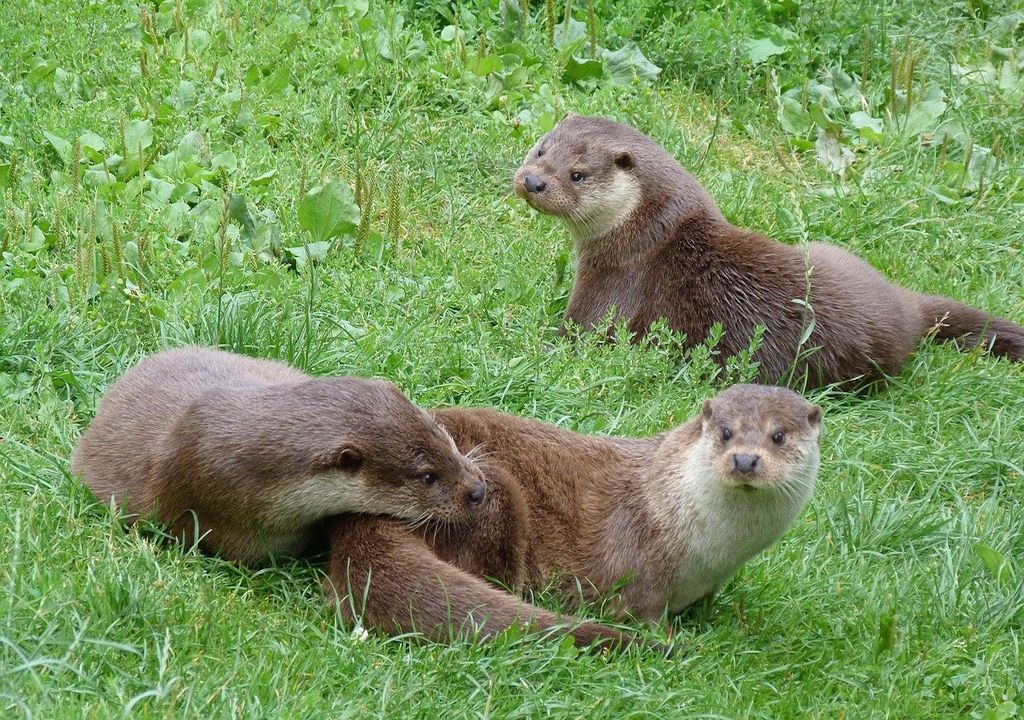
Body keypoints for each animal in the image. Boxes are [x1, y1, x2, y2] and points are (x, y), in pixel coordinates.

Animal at [323, 389, 819, 647]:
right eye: (725, 432)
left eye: (778, 435)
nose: (745, 460)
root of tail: (362, 514)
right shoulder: (640, 569)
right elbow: (642, 615)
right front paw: (675, 640)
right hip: (493, 491)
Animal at [512, 112, 1024, 389]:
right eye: (541, 149)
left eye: (577, 174)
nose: (533, 180)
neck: (647, 233)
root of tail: (906, 309)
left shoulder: (614, 284)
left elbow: (575, 337)